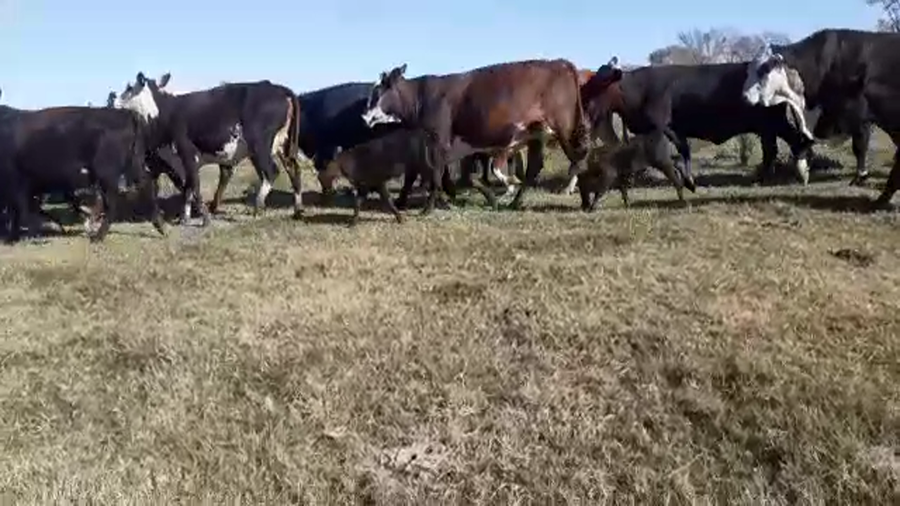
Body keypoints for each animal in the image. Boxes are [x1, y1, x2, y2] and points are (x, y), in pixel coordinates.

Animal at [0, 104, 164, 243]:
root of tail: (126, 113)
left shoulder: (16, 182)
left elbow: (21, 211)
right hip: (133, 165)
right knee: (146, 184)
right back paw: (161, 226)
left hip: (106, 173)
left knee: (112, 202)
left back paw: (98, 236)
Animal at [111, 72, 302, 224]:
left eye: (128, 88)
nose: (113, 98)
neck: (166, 112)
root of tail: (277, 88)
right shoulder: (180, 162)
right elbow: (188, 187)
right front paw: (185, 217)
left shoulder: (187, 155)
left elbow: (194, 186)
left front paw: (204, 217)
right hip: (282, 146)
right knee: (293, 169)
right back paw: (297, 209)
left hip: (260, 146)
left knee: (271, 172)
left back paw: (257, 207)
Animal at [360, 59, 595, 211]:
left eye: (377, 91)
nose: (364, 116)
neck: (423, 97)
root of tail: (562, 62)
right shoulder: (455, 148)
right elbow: (459, 177)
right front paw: (490, 197)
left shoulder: (439, 142)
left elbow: (437, 176)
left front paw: (428, 209)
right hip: (537, 135)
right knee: (536, 168)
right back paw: (515, 203)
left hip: (565, 130)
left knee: (579, 159)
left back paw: (583, 201)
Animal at [577, 58, 816, 205]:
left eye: (601, 83)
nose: (583, 103)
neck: (639, 90)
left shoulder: (666, 127)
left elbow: (683, 152)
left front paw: (689, 182)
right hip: (768, 126)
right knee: (776, 148)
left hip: (773, 123)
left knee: (791, 143)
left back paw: (795, 173)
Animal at [745, 29, 900, 206]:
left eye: (763, 69)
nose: (744, 96)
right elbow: (802, 143)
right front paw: (803, 171)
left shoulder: (860, 118)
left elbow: (859, 147)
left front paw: (860, 177)